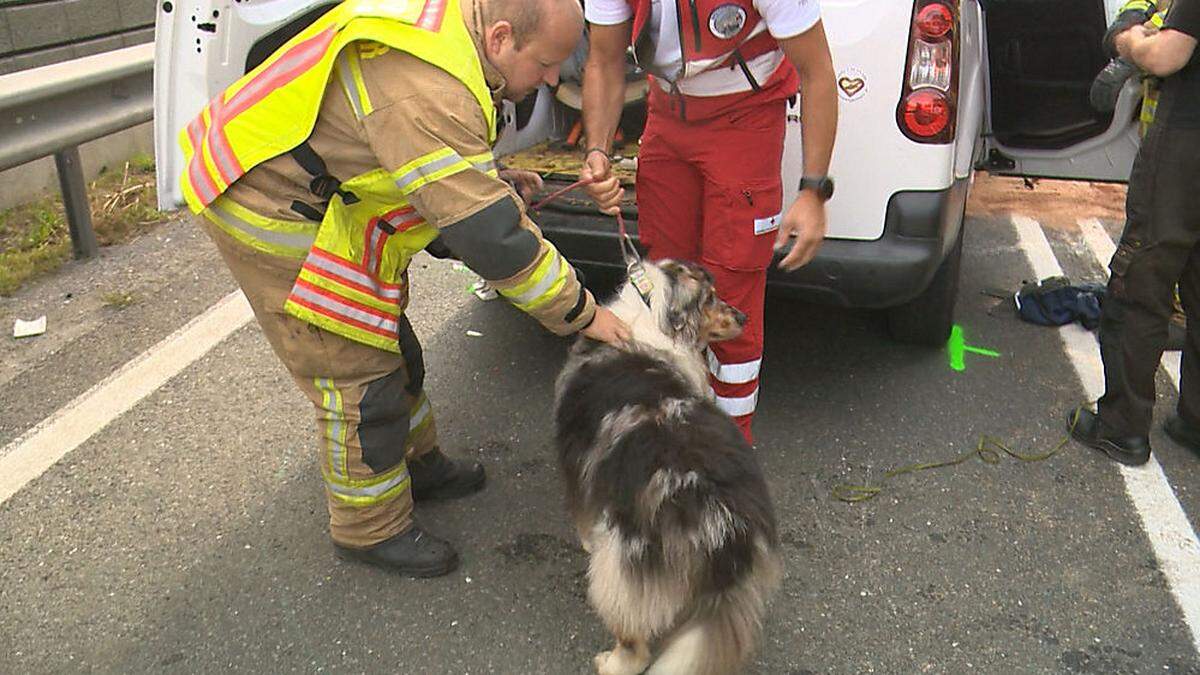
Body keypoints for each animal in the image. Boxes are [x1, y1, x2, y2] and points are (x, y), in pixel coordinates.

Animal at [554, 257, 782, 672]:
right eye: (710, 298)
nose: (743, 316)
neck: (652, 316)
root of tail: (722, 520)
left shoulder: (575, 464)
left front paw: (584, 540)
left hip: (619, 570)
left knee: (635, 641)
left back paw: (611, 661)